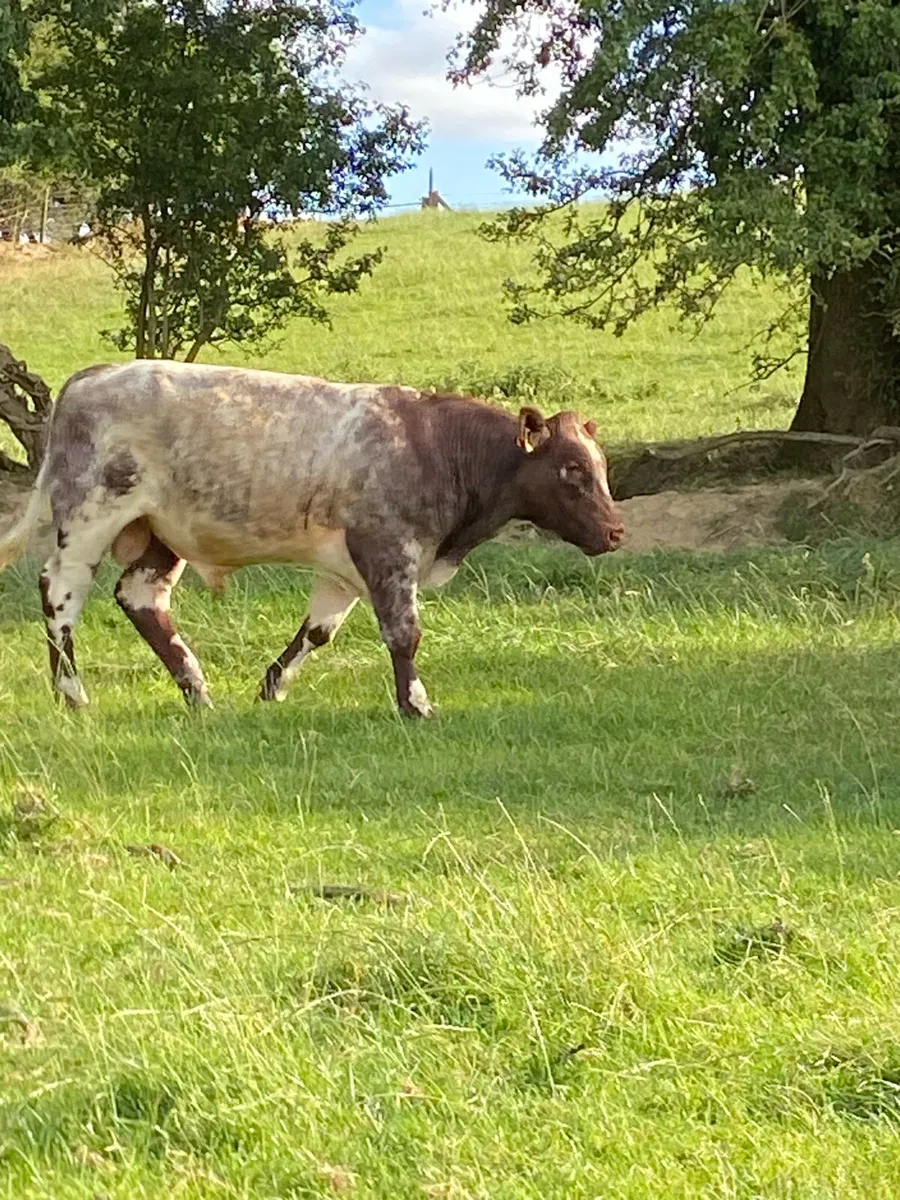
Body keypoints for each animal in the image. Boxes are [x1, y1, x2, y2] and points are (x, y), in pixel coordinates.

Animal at [0, 361, 623, 717]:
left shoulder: (342, 565)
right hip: (90, 515)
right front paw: (416, 705)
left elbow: (318, 632)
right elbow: (404, 633)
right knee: (61, 592)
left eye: (600, 465)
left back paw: (197, 690)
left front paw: (271, 688)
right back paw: (73, 694)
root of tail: (93, 375)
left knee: (140, 597)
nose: (616, 531)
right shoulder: (387, 549)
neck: (434, 445)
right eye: (570, 469)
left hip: (161, 532)